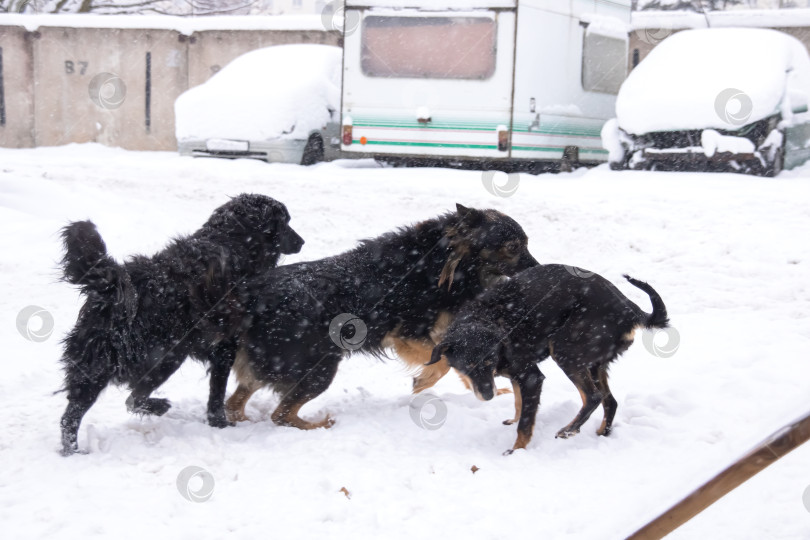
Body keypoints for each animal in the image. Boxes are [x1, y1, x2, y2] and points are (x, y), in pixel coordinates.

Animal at [57, 194, 304, 456]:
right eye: (284, 222)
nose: (302, 241)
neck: (232, 242)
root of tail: (113, 288)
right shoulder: (225, 347)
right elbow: (217, 393)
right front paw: (219, 423)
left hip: (95, 367)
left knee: (73, 416)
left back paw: (72, 452)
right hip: (167, 355)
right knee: (133, 397)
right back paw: (158, 407)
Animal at [221, 205, 536, 428]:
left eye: (526, 243)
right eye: (513, 247)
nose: (538, 268)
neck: (447, 260)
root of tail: (250, 295)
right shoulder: (407, 334)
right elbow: (442, 363)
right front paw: (423, 382)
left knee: (235, 404)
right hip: (319, 367)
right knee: (280, 414)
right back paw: (319, 425)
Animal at [426, 264, 664, 454]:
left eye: (489, 362)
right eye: (467, 367)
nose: (488, 396)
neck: (489, 319)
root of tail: (631, 310)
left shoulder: (531, 377)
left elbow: (525, 422)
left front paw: (516, 451)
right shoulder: (516, 377)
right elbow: (519, 403)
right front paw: (514, 420)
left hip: (565, 351)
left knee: (593, 397)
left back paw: (569, 430)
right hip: (594, 364)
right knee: (610, 401)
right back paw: (600, 434)